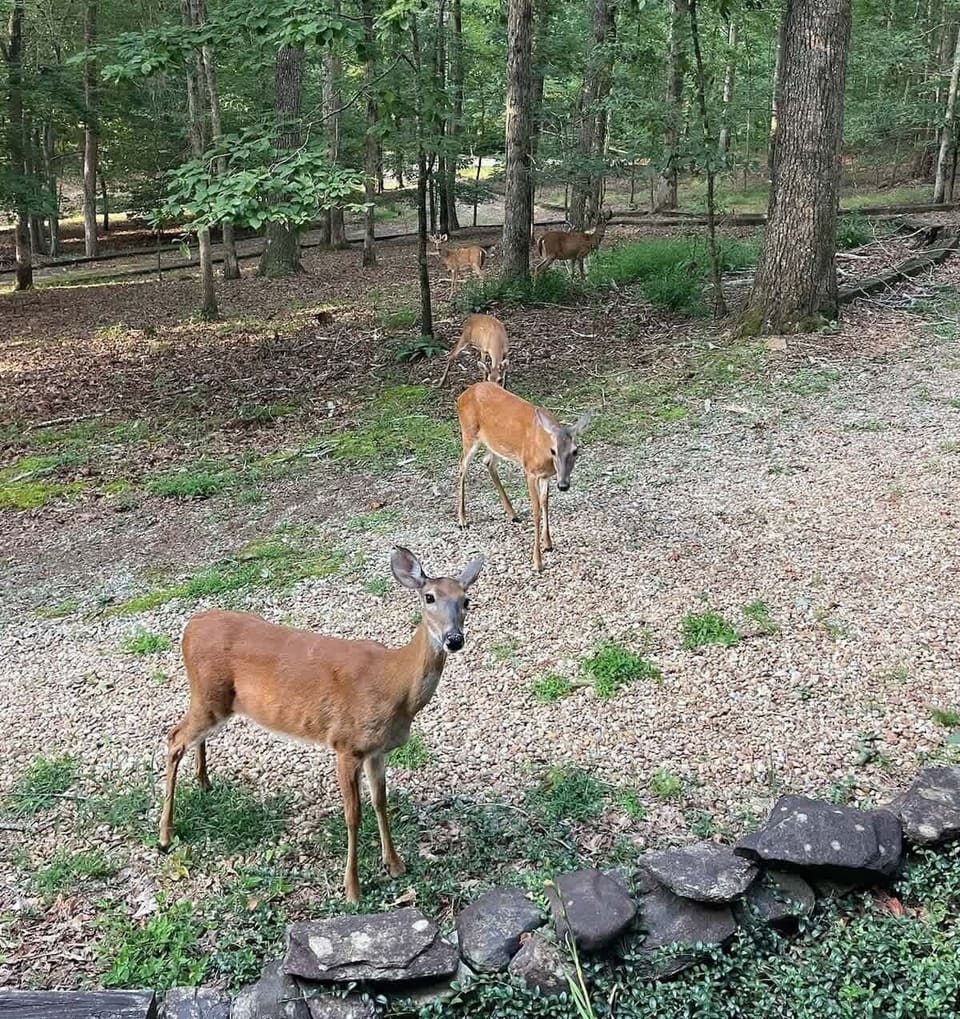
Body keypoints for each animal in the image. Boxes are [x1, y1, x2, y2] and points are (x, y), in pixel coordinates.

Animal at [157, 546, 483, 904]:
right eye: (429, 597)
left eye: (466, 600)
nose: (454, 639)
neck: (394, 683)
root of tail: (190, 626)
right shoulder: (345, 743)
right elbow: (353, 815)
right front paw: (352, 888)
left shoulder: (376, 750)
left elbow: (381, 802)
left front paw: (395, 864)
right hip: (209, 696)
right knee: (173, 737)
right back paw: (164, 836)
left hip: (214, 701)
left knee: (192, 737)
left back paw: (204, 783)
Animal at [456, 381, 590, 573]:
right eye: (553, 450)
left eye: (575, 451)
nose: (563, 485)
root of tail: (462, 395)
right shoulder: (530, 472)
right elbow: (536, 510)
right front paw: (537, 562)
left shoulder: (546, 476)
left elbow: (545, 504)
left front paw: (548, 543)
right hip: (469, 432)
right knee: (462, 466)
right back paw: (462, 519)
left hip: (494, 443)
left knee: (488, 462)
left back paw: (512, 514)